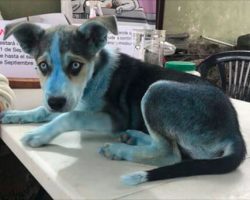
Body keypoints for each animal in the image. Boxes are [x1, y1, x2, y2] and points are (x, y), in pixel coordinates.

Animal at [0, 16, 246, 186]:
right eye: (43, 66)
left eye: (76, 65)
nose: (56, 102)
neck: (95, 74)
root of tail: (234, 131)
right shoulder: (71, 99)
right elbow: (46, 109)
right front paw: (15, 115)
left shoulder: (115, 117)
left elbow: (72, 116)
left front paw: (40, 134)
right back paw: (134, 137)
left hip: (157, 90)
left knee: (170, 153)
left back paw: (119, 149)